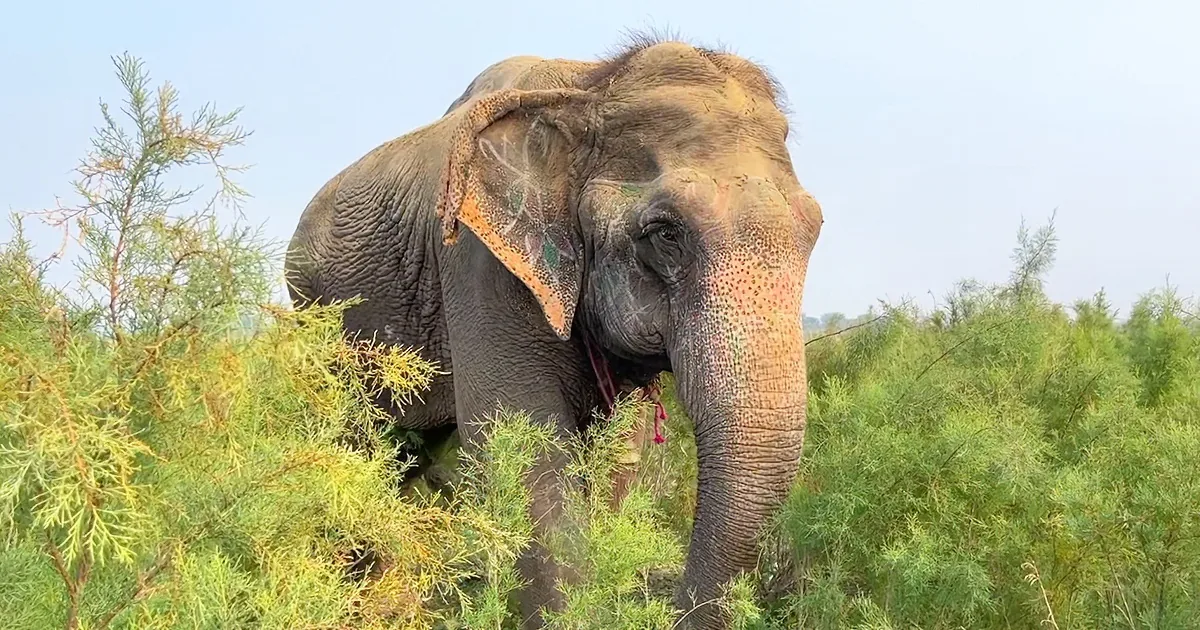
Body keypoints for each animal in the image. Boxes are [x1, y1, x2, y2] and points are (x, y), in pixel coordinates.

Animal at [284, 35, 824, 629]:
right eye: (665, 233)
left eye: (815, 229)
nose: (666, 599)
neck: (590, 89)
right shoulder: (478, 262)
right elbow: (524, 452)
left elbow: (615, 461)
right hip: (320, 317)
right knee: (358, 450)